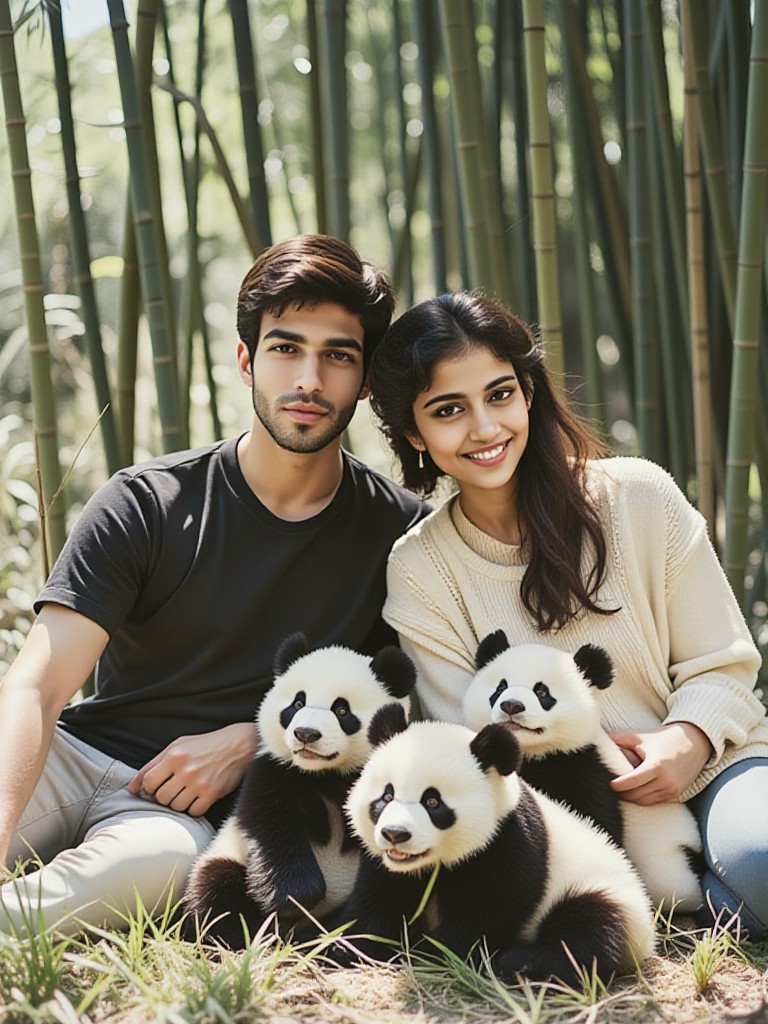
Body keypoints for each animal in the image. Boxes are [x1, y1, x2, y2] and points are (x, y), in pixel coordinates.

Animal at [182, 631, 416, 948]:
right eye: (296, 704)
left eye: (341, 710)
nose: (306, 733)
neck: (328, 774)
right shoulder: (275, 770)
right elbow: (272, 823)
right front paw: (294, 897)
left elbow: (387, 871)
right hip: (228, 856)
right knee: (216, 890)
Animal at [341, 704, 656, 985]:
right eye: (386, 796)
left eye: (432, 802)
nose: (395, 833)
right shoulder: (386, 864)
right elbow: (379, 900)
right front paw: (350, 948)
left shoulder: (508, 839)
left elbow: (491, 907)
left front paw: (433, 954)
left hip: (604, 892)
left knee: (589, 929)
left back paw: (522, 963)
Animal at [462, 631, 704, 913]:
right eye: (500, 688)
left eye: (542, 691)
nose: (511, 705)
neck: (531, 752)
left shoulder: (584, 768)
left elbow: (597, 823)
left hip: (665, 853)